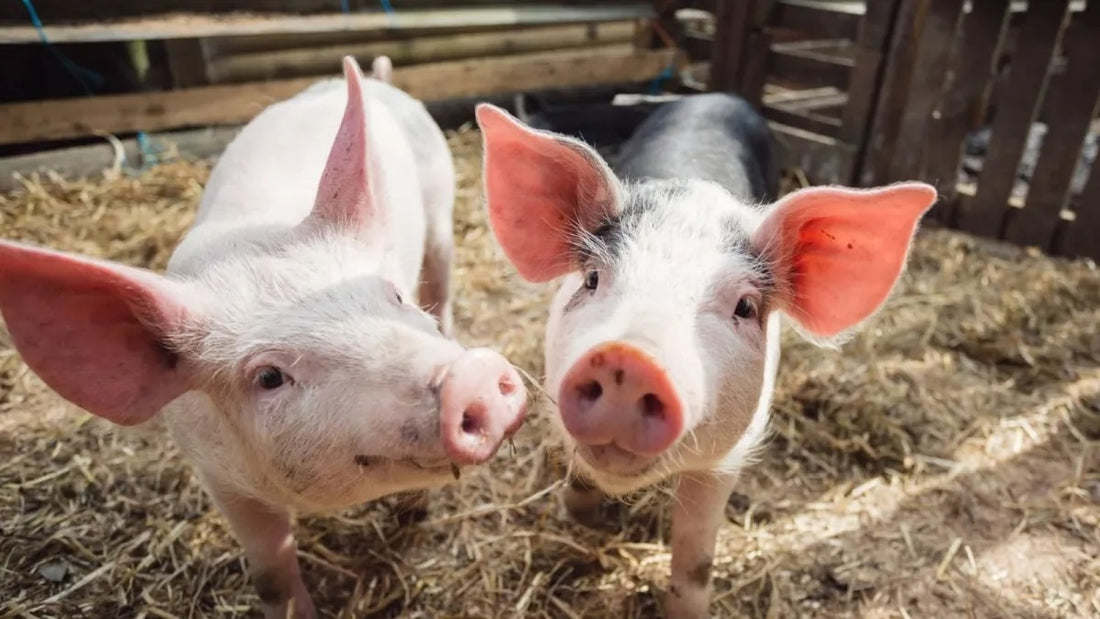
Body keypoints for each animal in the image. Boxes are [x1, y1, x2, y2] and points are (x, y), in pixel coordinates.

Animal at [0, 56, 527, 618]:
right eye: (269, 377)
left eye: (394, 297)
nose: (471, 374)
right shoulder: (219, 476)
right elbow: (270, 574)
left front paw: (415, 515)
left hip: (441, 216)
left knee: (443, 289)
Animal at [475, 93, 936, 618]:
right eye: (591, 278)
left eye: (745, 307)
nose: (628, 359)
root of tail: (717, 96)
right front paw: (581, 522)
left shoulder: (726, 459)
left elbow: (696, 556)